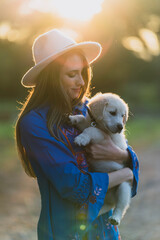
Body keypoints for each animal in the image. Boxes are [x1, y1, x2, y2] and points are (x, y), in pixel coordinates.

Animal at [69, 92, 131, 225]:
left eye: (123, 115)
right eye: (112, 112)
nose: (120, 127)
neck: (100, 125)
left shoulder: (105, 137)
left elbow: (91, 130)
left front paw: (81, 138)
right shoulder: (87, 123)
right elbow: (83, 120)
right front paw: (73, 118)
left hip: (124, 187)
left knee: (121, 206)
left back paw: (115, 218)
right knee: (106, 206)